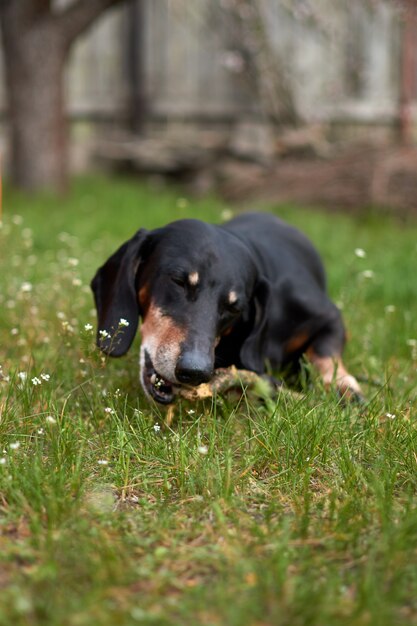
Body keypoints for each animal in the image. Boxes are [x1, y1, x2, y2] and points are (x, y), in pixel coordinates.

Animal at [91, 212, 360, 402]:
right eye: (178, 281)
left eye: (234, 308)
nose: (195, 371)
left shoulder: (330, 316)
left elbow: (326, 351)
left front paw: (343, 385)